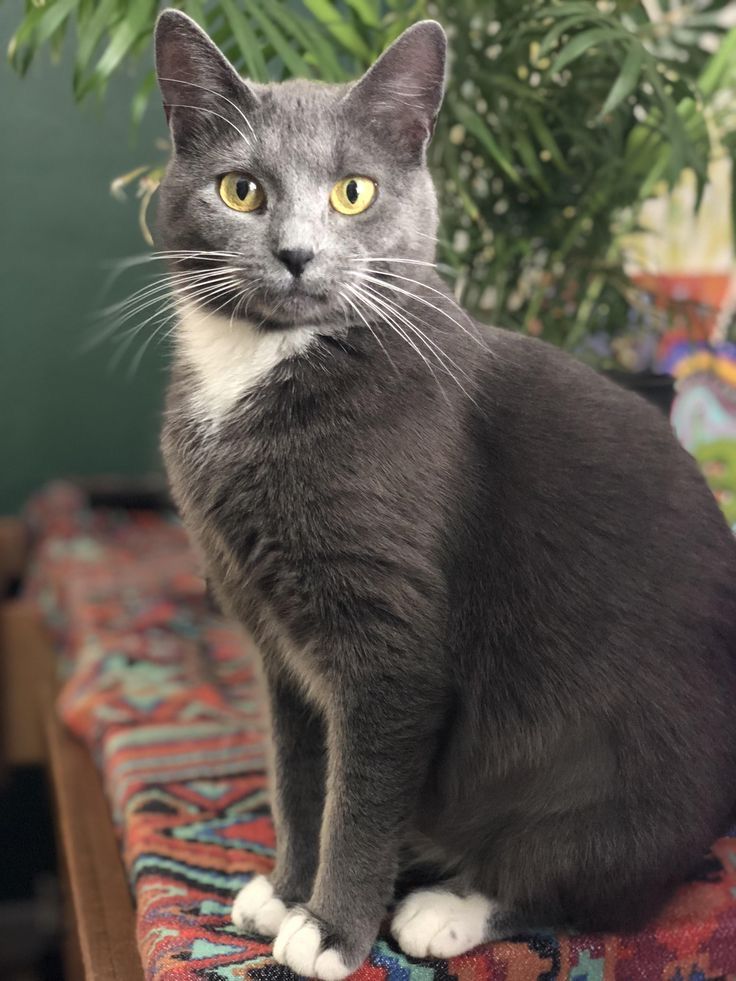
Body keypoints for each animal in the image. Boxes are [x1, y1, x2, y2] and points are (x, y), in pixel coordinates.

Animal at [152, 9, 736, 980]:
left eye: (353, 193)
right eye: (240, 190)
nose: (297, 254)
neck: (267, 366)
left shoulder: (392, 643)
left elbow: (360, 791)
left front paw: (329, 928)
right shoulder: (276, 640)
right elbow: (299, 771)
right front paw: (287, 890)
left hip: (622, 778)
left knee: (591, 881)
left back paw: (448, 906)